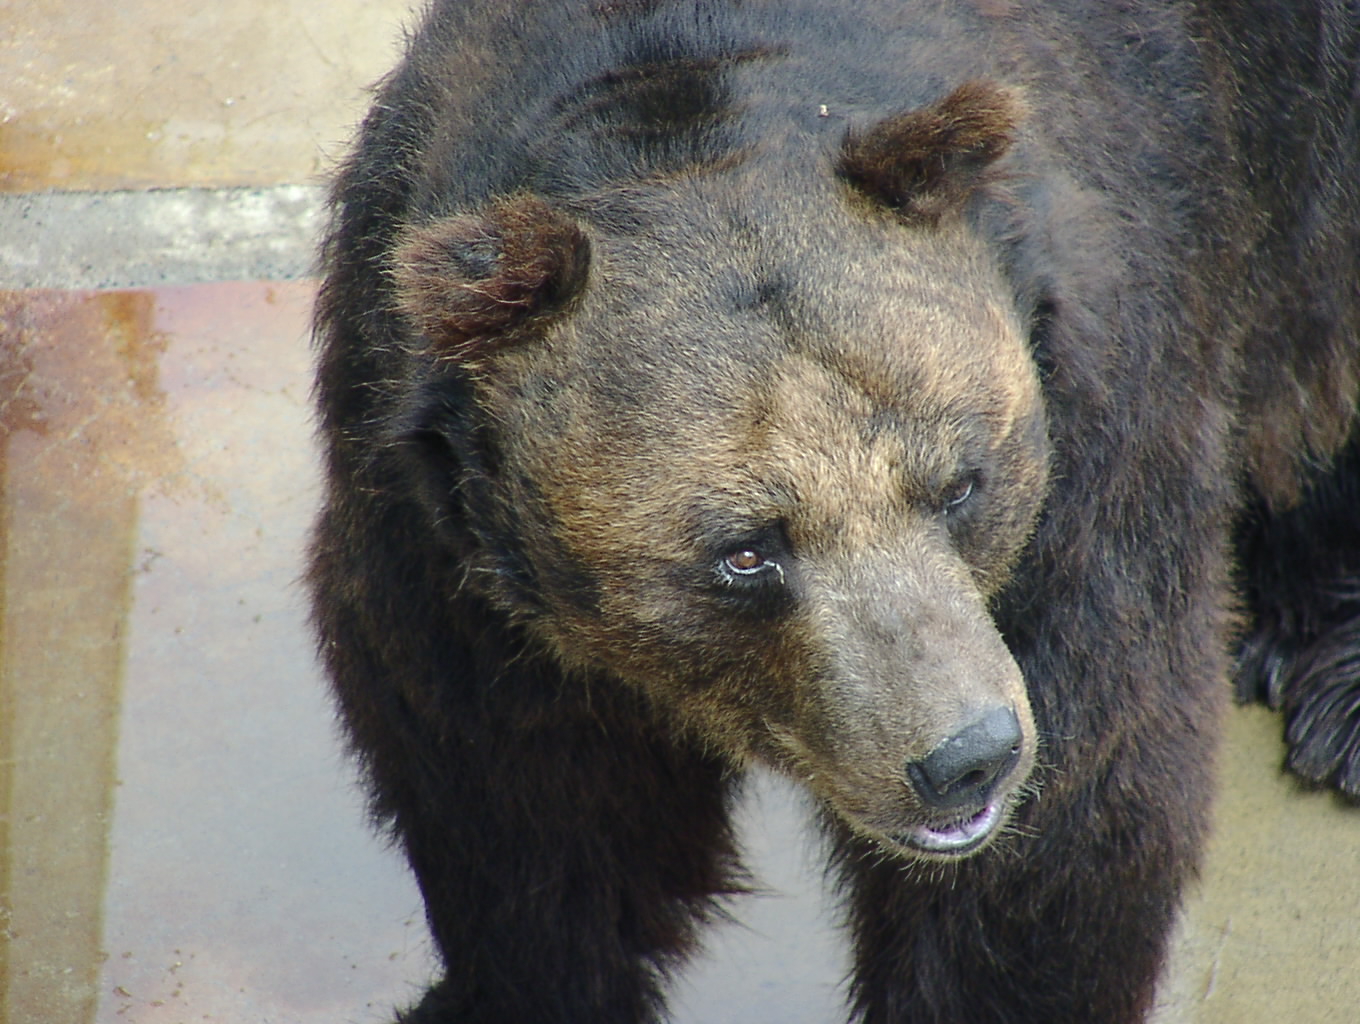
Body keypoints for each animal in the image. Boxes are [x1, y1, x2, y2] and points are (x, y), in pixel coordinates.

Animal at [308, 1, 1360, 1022]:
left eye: (959, 483)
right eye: (745, 551)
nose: (967, 757)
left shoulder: (1097, 422)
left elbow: (1077, 797)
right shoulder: (429, 507)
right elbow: (519, 794)